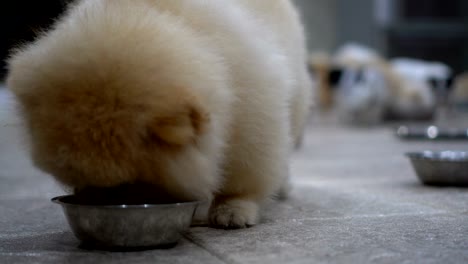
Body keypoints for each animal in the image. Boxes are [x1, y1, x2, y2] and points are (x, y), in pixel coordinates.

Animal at [6, 0, 310, 228]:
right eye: (75, 179)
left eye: (127, 184)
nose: (93, 196)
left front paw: (233, 209)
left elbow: (246, 176)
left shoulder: (252, 113)